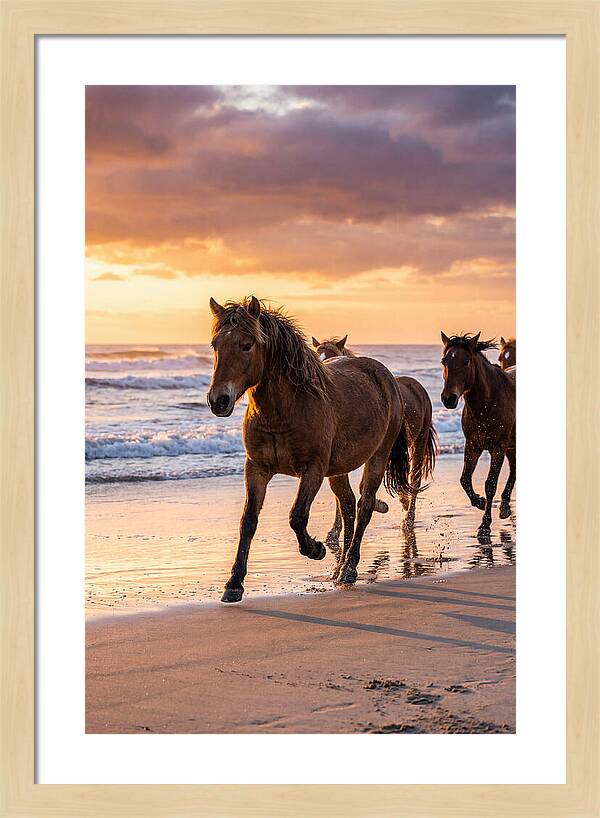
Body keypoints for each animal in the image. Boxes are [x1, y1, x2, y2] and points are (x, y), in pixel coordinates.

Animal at [207, 296, 414, 602]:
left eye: (247, 344)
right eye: (215, 345)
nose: (218, 400)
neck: (285, 409)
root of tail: (387, 377)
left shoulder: (313, 470)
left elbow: (297, 516)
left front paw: (316, 549)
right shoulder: (256, 468)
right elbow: (248, 521)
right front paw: (234, 583)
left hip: (377, 458)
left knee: (364, 506)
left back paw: (349, 568)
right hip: (338, 470)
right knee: (348, 506)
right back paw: (339, 568)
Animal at [313, 335, 437, 531]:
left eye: (332, 355)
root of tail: (417, 386)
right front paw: (335, 530)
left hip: (418, 442)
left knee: (414, 479)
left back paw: (408, 519)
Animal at [440, 331, 516, 537]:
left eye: (466, 361)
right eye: (444, 361)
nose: (448, 399)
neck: (488, 402)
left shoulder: (498, 447)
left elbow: (490, 484)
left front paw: (485, 524)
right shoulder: (473, 445)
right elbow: (465, 479)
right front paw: (479, 502)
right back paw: (505, 506)